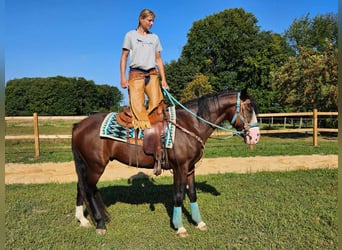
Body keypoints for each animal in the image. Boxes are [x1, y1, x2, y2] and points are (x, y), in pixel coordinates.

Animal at [71, 89, 260, 237]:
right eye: (249, 108)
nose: (255, 136)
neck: (190, 125)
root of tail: (79, 125)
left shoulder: (190, 168)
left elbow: (192, 194)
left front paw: (199, 223)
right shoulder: (180, 168)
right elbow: (178, 195)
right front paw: (180, 227)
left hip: (86, 165)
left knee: (81, 187)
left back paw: (83, 220)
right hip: (95, 166)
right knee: (88, 189)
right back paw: (100, 224)